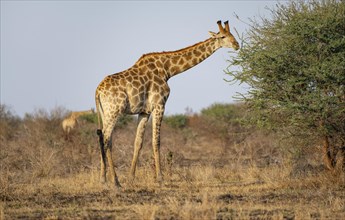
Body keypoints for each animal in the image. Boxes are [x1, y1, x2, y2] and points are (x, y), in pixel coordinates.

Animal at [94, 20, 239, 187]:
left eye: (232, 34)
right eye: (222, 36)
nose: (237, 45)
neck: (167, 69)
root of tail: (97, 91)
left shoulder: (144, 111)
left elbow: (138, 142)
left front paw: (131, 177)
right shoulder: (160, 105)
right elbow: (156, 141)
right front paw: (160, 178)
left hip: (105, 113)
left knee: (103, 138)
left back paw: (103, 179)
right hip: (114, 111)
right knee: (106, 138)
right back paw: (115, 181)